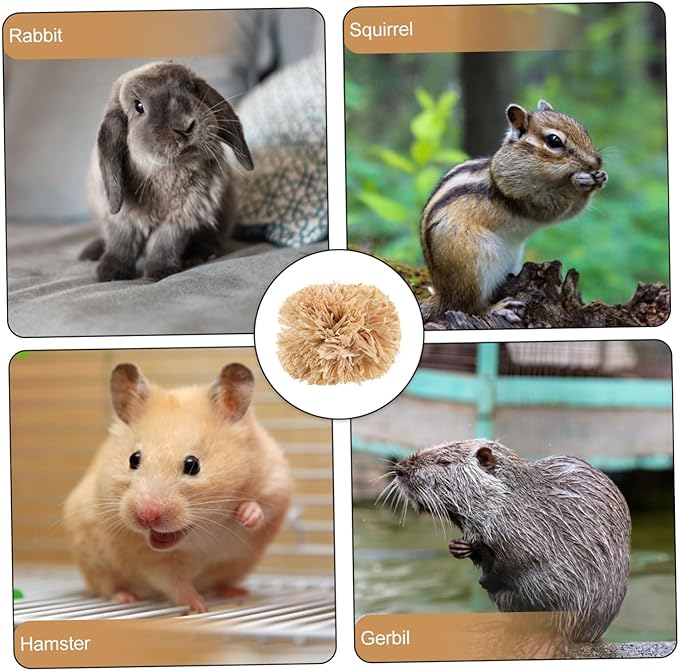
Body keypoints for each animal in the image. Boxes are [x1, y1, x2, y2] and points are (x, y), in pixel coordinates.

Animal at [81, 61, 254, 281]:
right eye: (138, 106)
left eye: (190, 87)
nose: (185, 126)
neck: (166, 173)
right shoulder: (123, 219)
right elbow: (121, 244)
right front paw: (110, 273)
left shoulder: (181, 219)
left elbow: (164, 243)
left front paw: (159, 272)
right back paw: (90, 253)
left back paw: (199, 255)